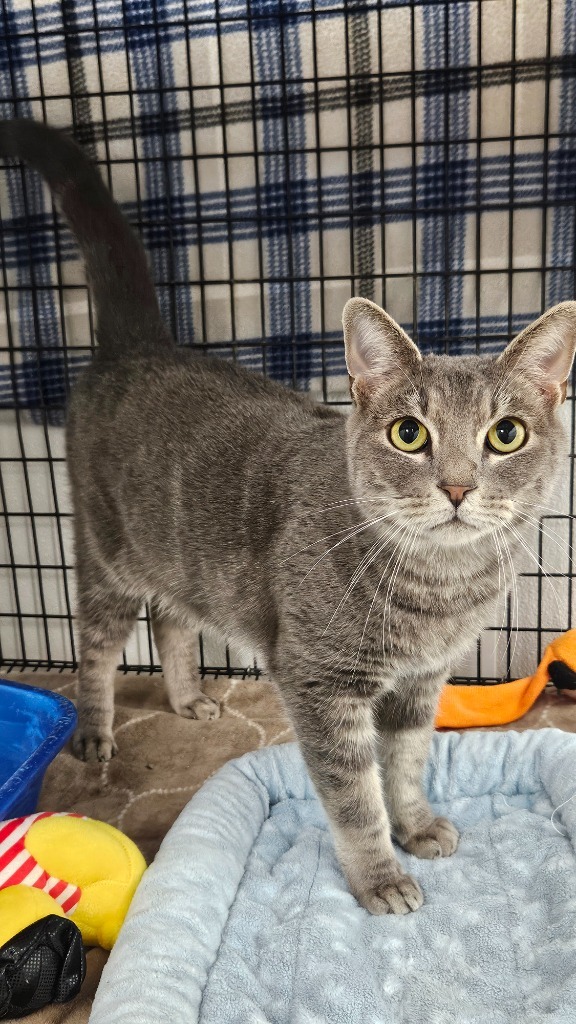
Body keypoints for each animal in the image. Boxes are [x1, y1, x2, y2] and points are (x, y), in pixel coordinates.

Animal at [2, 117, 569, 913]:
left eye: (507, 434)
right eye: (409, 433)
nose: (457, 487)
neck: (438, 590)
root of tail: (140, 345)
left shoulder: (420, 684)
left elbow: (406, 765)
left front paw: (417, 824)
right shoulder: (320, 684)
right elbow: (356, 798)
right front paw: (380, 877)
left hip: (180, 559)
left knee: (172, 621)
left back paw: (187, 697)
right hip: (107, 550)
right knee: (99, 645)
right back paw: (94, 731)